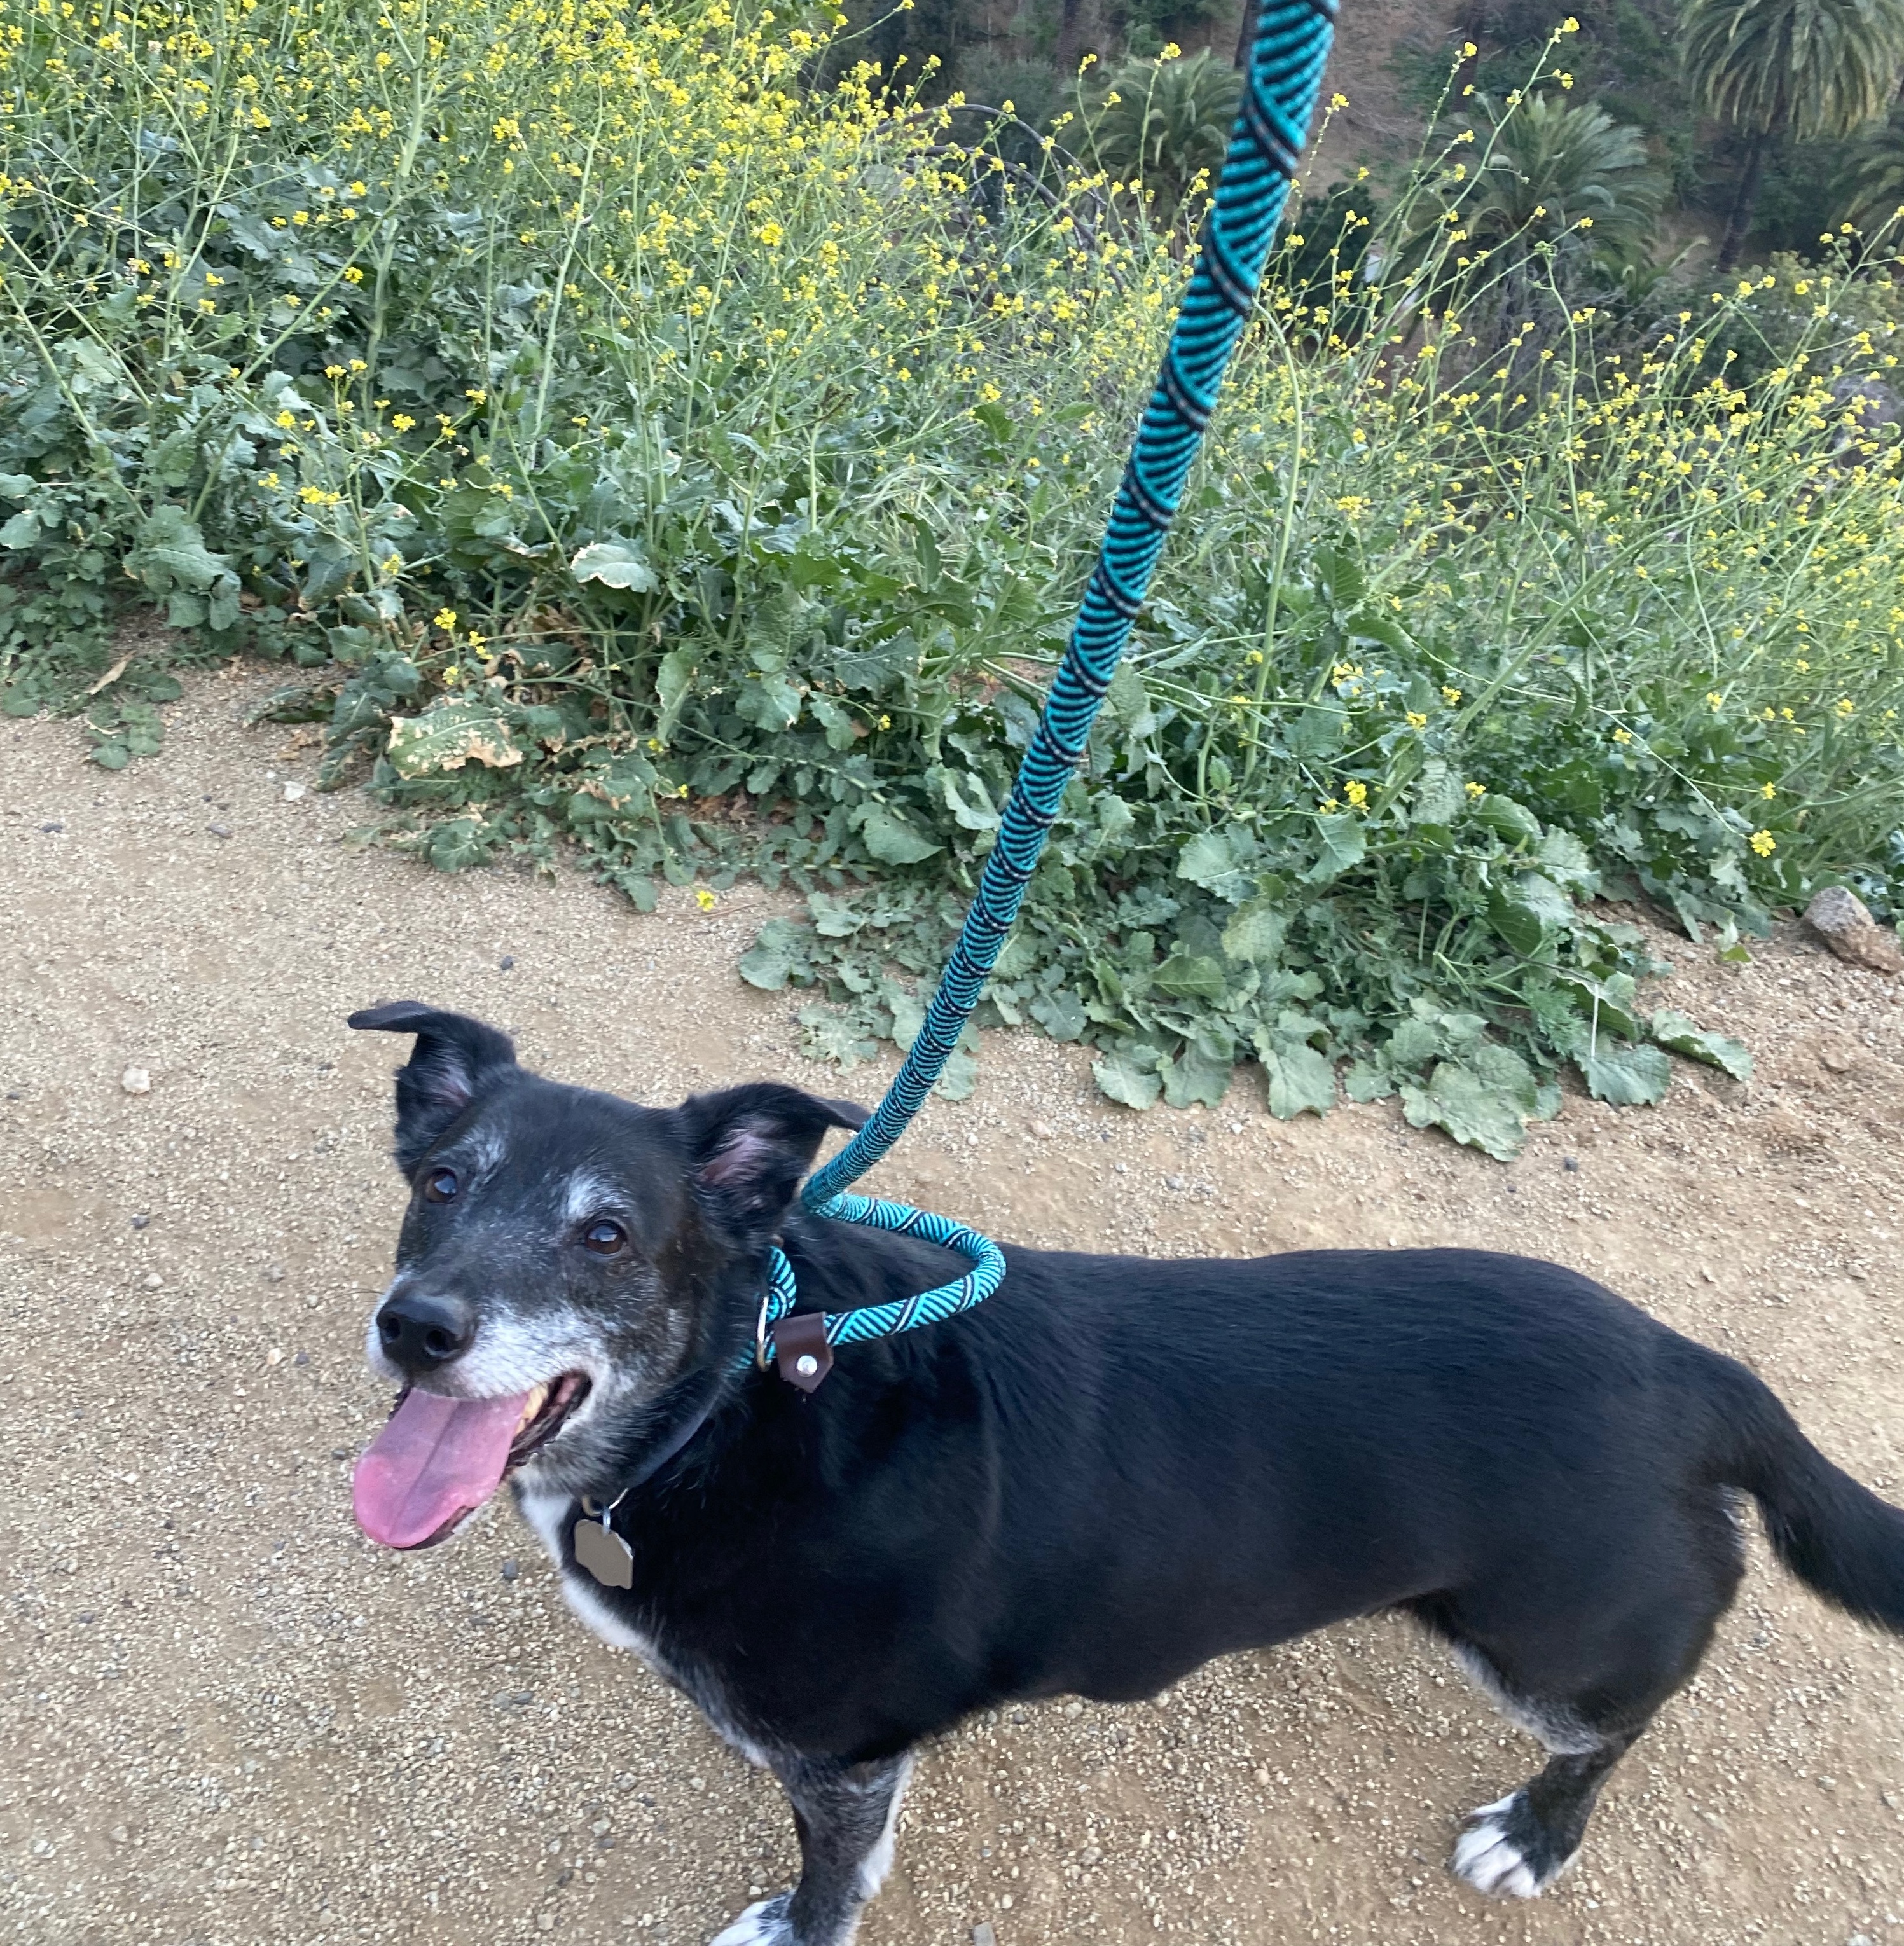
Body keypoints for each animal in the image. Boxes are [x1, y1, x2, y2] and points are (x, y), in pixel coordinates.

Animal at [344, 1004, 1900, 1946]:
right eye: (440, 1184)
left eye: (607, 1235)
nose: (416, 1329)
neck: (734, 1400)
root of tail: (1689, 1369)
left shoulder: (839, 1761)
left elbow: (830, 1879)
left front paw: (794, 1922)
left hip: (1545, 1644)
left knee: (1616, 1725)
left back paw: (1534, 1833)